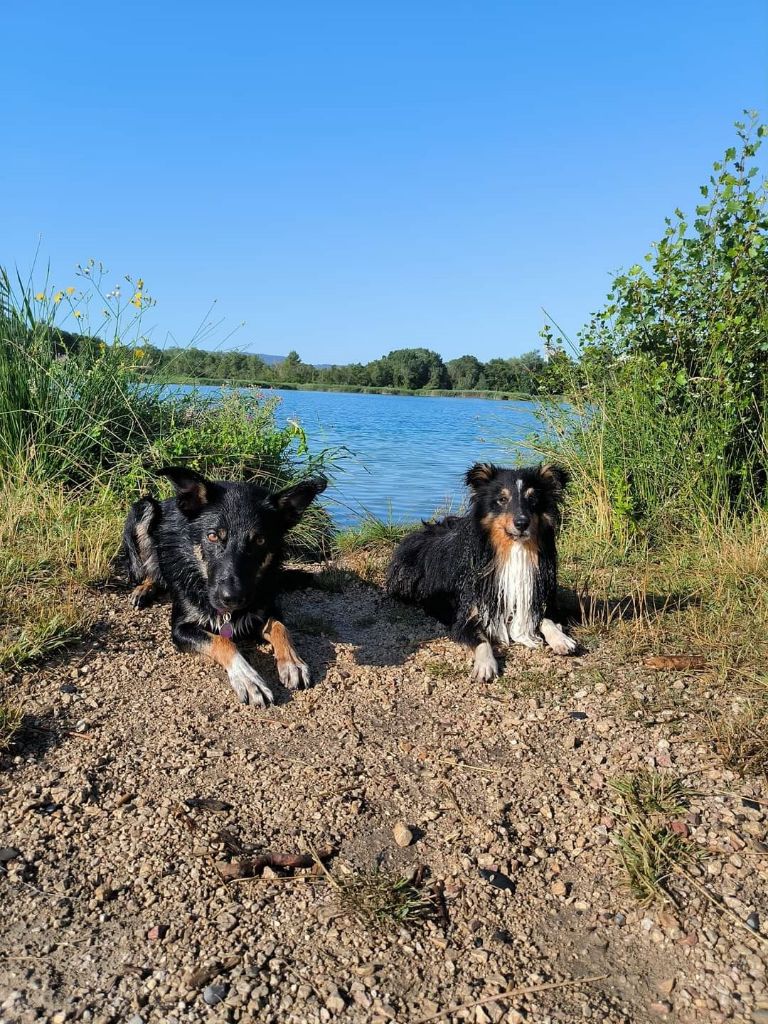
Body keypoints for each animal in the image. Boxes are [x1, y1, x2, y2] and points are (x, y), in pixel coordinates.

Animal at [123, 468, 327, 708]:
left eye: (259, 540)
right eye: (212, 536)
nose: (232, 598)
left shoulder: (266, 608)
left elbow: (280, 628)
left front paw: (293, 662)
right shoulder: (181, 628)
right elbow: (223, 641)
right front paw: (248, 678)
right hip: (144, 508)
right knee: (149, 569)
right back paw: (144, 588)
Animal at [391, 464, 577, 679]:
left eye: (533, 499)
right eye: (502, 499)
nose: (522, 523)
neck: (512, 550)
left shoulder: (532, 599)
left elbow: (546, 619)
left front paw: (561, 639)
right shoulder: (468, 615)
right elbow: (482, 640)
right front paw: (486, 665)